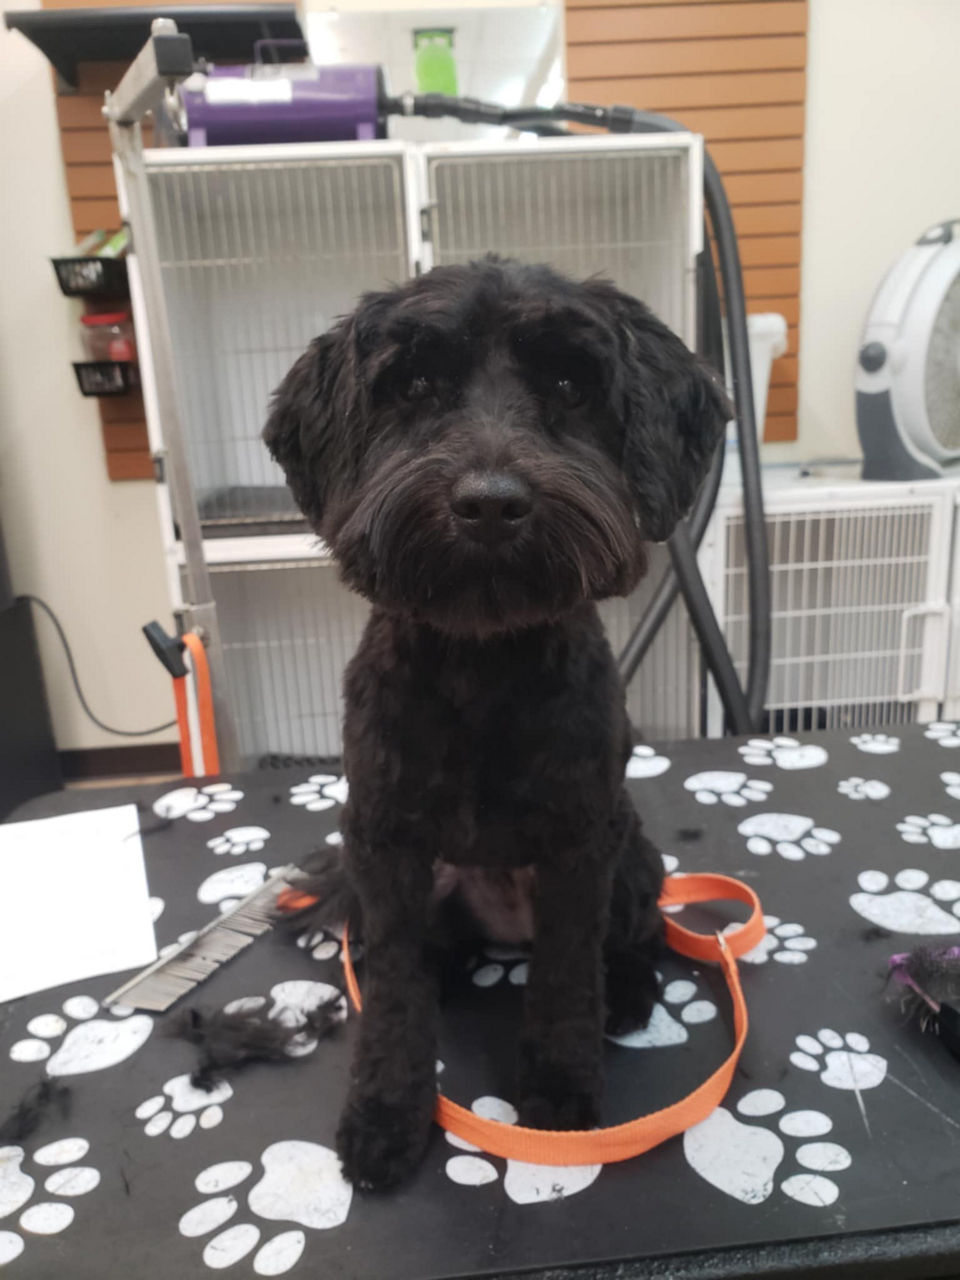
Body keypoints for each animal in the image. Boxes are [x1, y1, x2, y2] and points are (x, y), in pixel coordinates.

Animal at [263, 257, 727, 1187]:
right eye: (412, 386)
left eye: (569, 385)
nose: (488, 503)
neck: (482, 663)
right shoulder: (384, 844)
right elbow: (394, 992)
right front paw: (387, 1113)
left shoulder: (580, 845)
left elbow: (564, 979)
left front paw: (558, 1097)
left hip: (633, 858)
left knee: (634, 940)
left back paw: (627, 997)